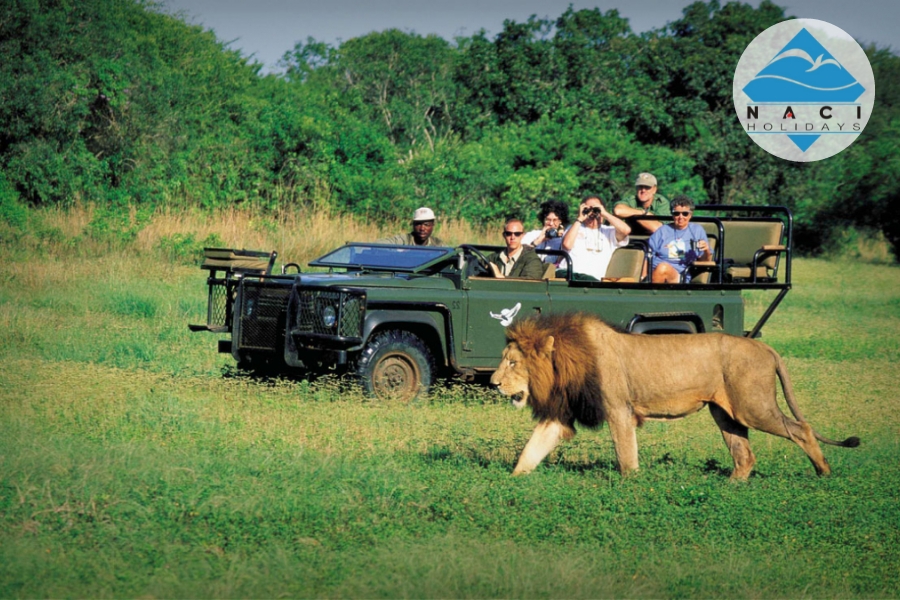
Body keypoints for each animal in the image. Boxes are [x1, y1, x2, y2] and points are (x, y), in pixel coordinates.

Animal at [492, 312, 856, 480]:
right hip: (726, 414)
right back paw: (731, 485)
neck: (566, 364)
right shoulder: (561, 414)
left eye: (512, 362)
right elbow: (531, 450)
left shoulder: (619, 409)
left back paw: (823, 472)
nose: (494, 383)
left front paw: (631, 484)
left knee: (801, 428)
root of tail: (766, 347)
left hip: (753, 407)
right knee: (745, 453)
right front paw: (511, 481)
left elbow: (626, 454)